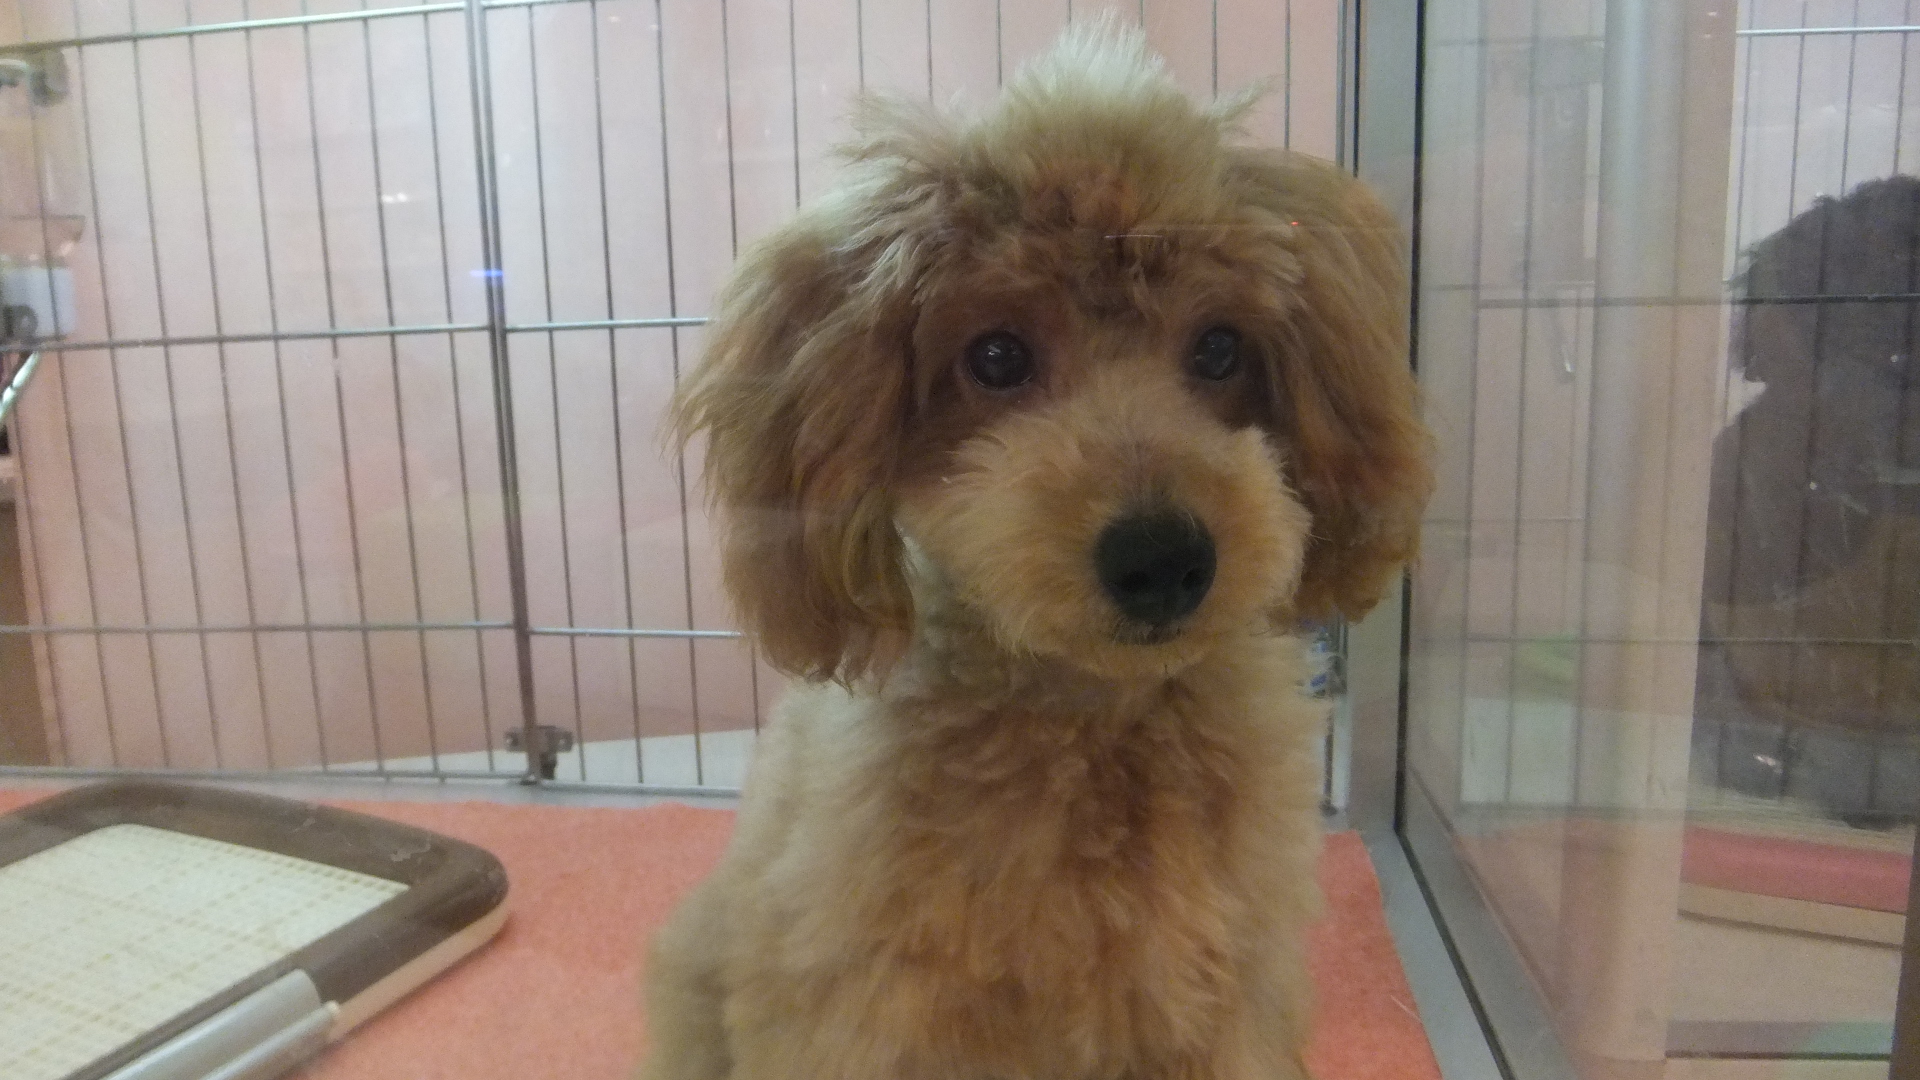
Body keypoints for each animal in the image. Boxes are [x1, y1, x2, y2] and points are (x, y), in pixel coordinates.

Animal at [640, 23, 1432, 1080]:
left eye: (1220, 349)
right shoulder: (872, 1011)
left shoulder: (1221, 1001)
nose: (1162, 559)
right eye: (997, 357)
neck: (1094, 728)